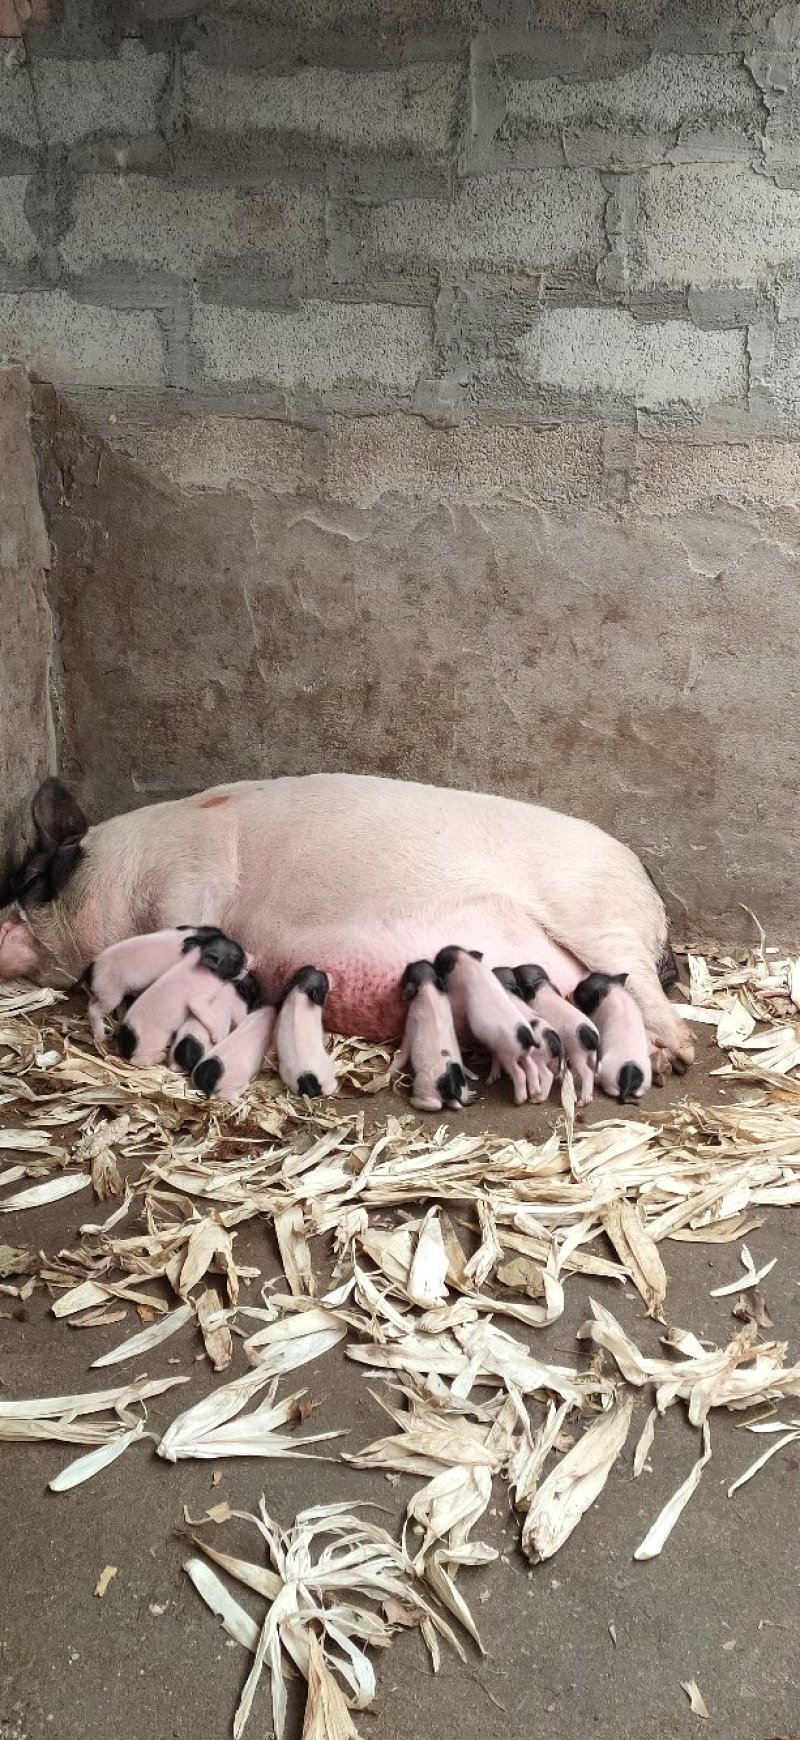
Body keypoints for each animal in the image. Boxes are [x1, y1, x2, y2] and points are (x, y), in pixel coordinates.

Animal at [0, 779, 692, 1071]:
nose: (4, 926)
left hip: (599, 917)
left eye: (35, 883)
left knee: (659, 1008)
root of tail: (653, 898)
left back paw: (672, 1057)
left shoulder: (185, 887)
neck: (127, 875)